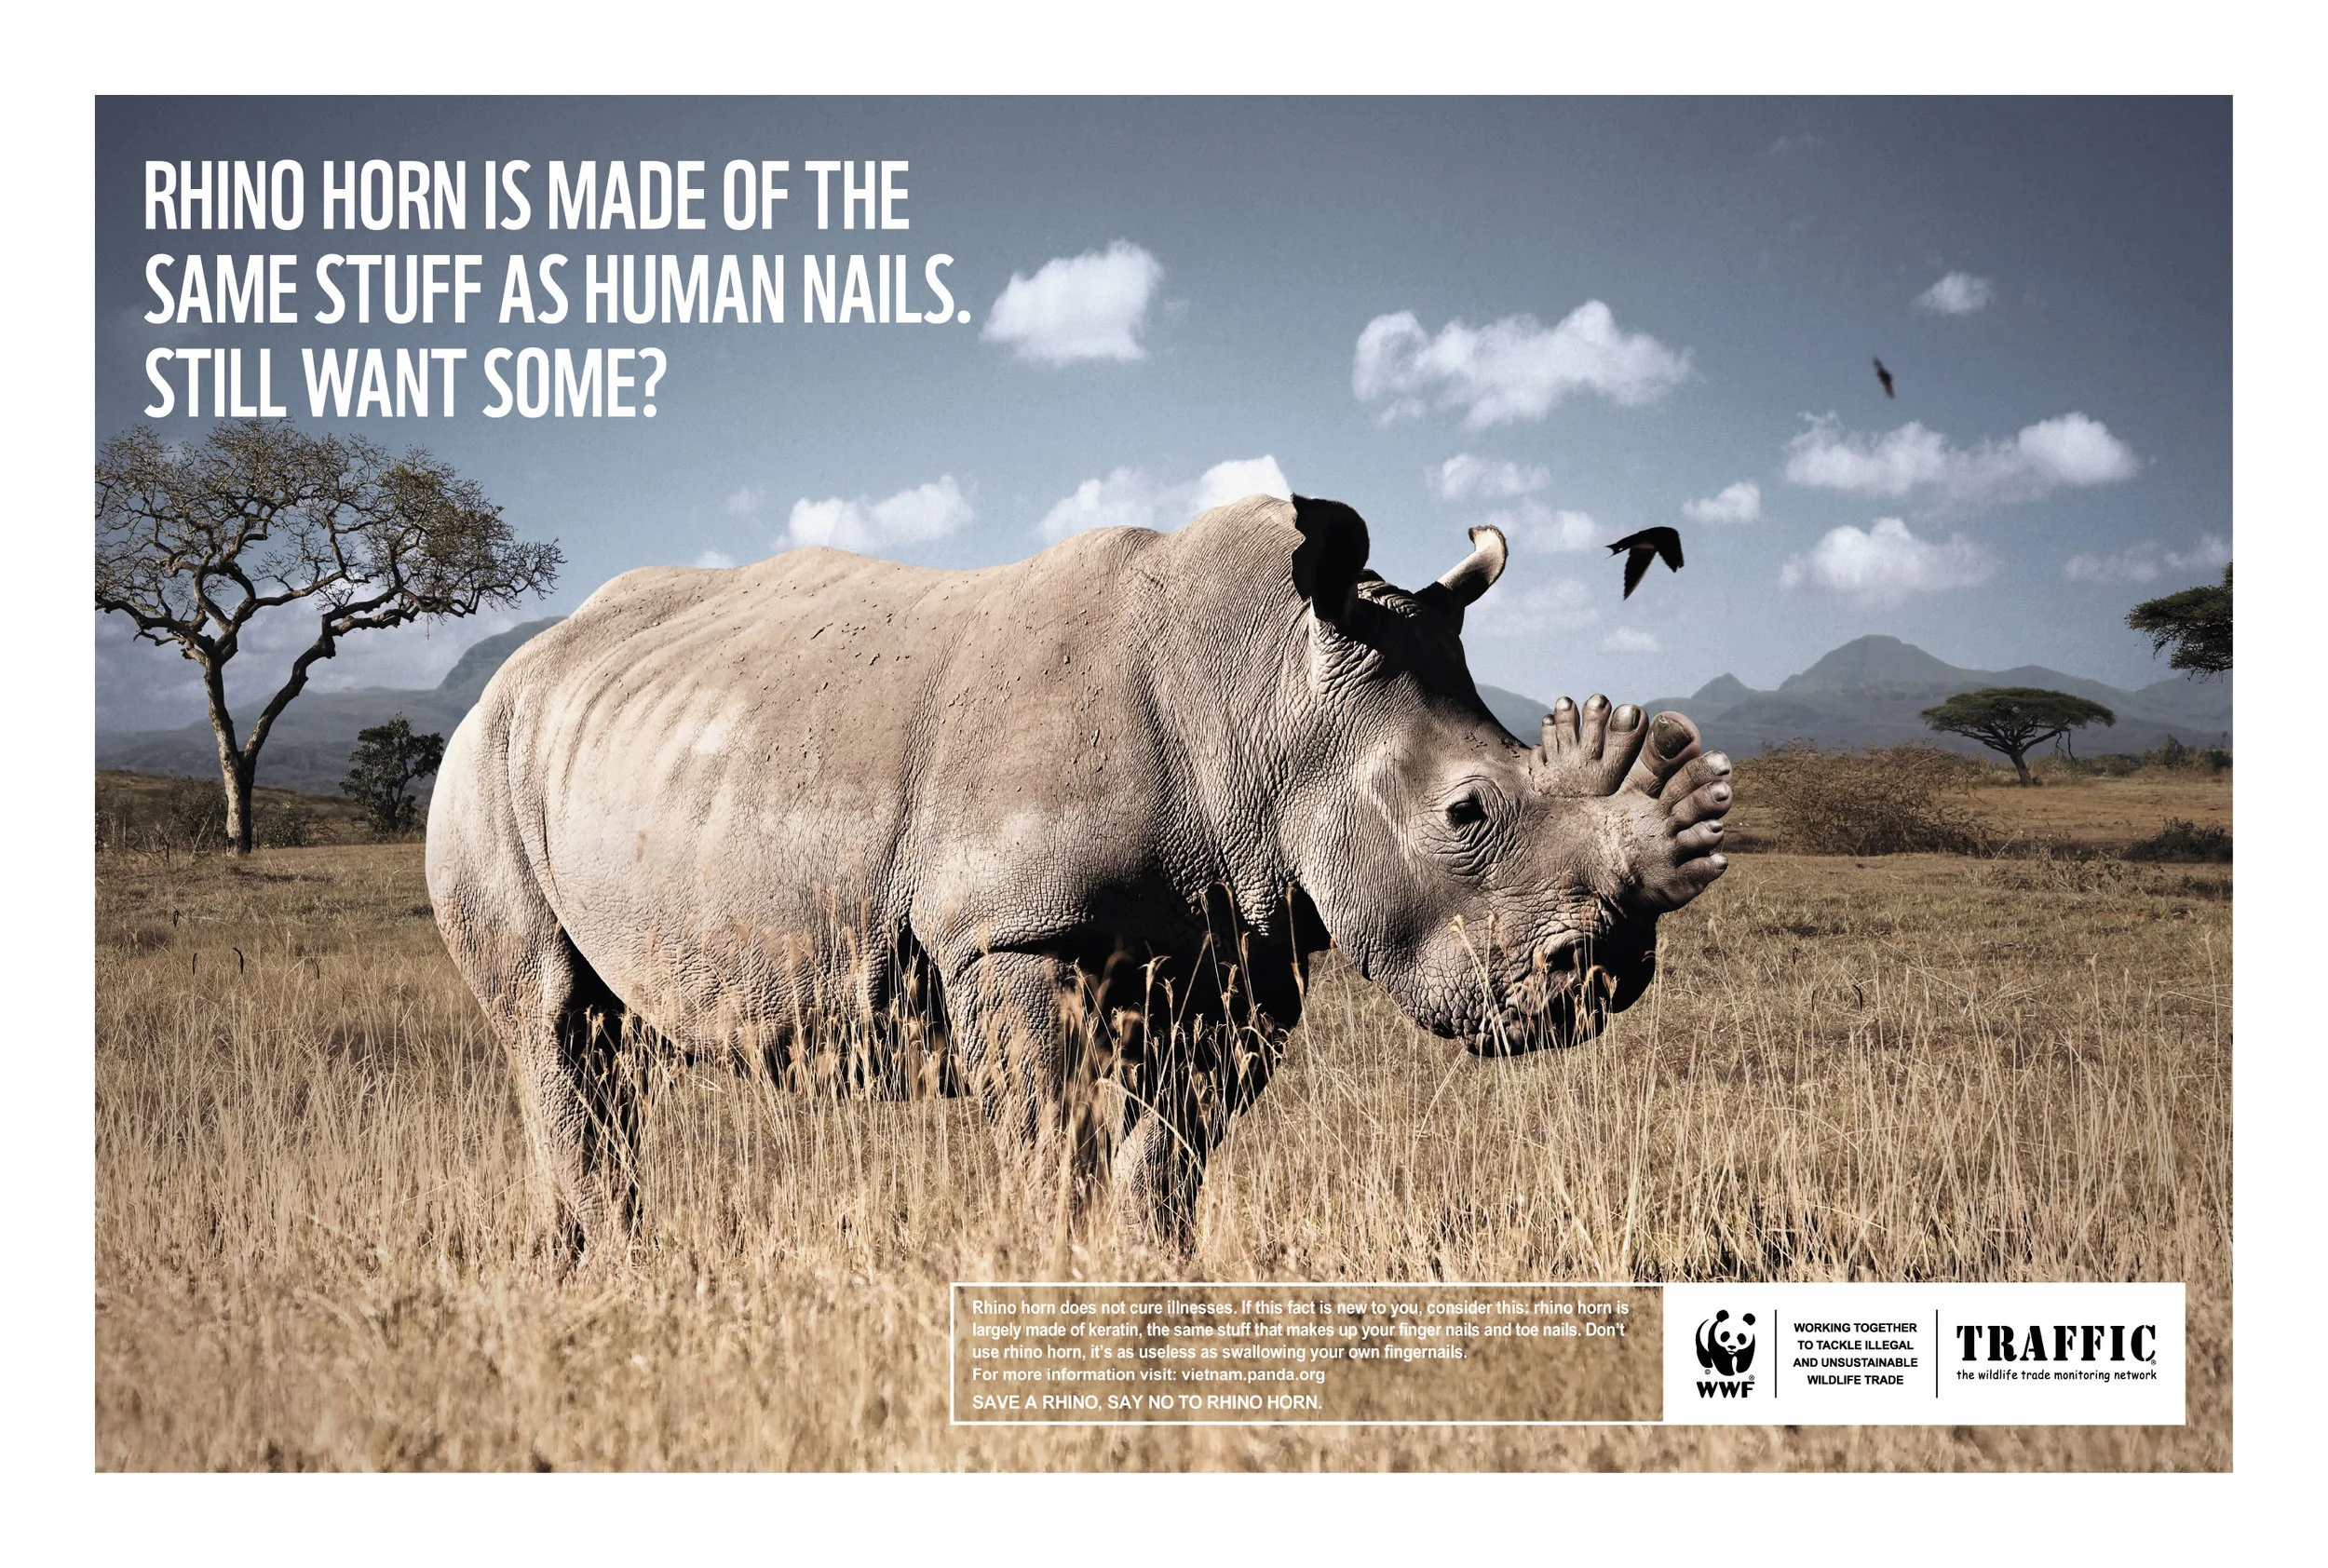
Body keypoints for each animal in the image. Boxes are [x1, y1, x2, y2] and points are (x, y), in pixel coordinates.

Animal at [426, 494, 1732, 1258]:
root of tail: (516, 671)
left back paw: (584, 1268)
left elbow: (1170, 1160)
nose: (1604, 976)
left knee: (602, 1044)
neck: (1267, 691)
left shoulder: (1243, 945)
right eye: (1466, 812)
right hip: (480, 766)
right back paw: (622, 1271)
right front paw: (1050, 1280)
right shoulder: (1009, 932)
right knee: (553, 1019)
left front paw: (1155, 1288)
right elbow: (1055, 1144)